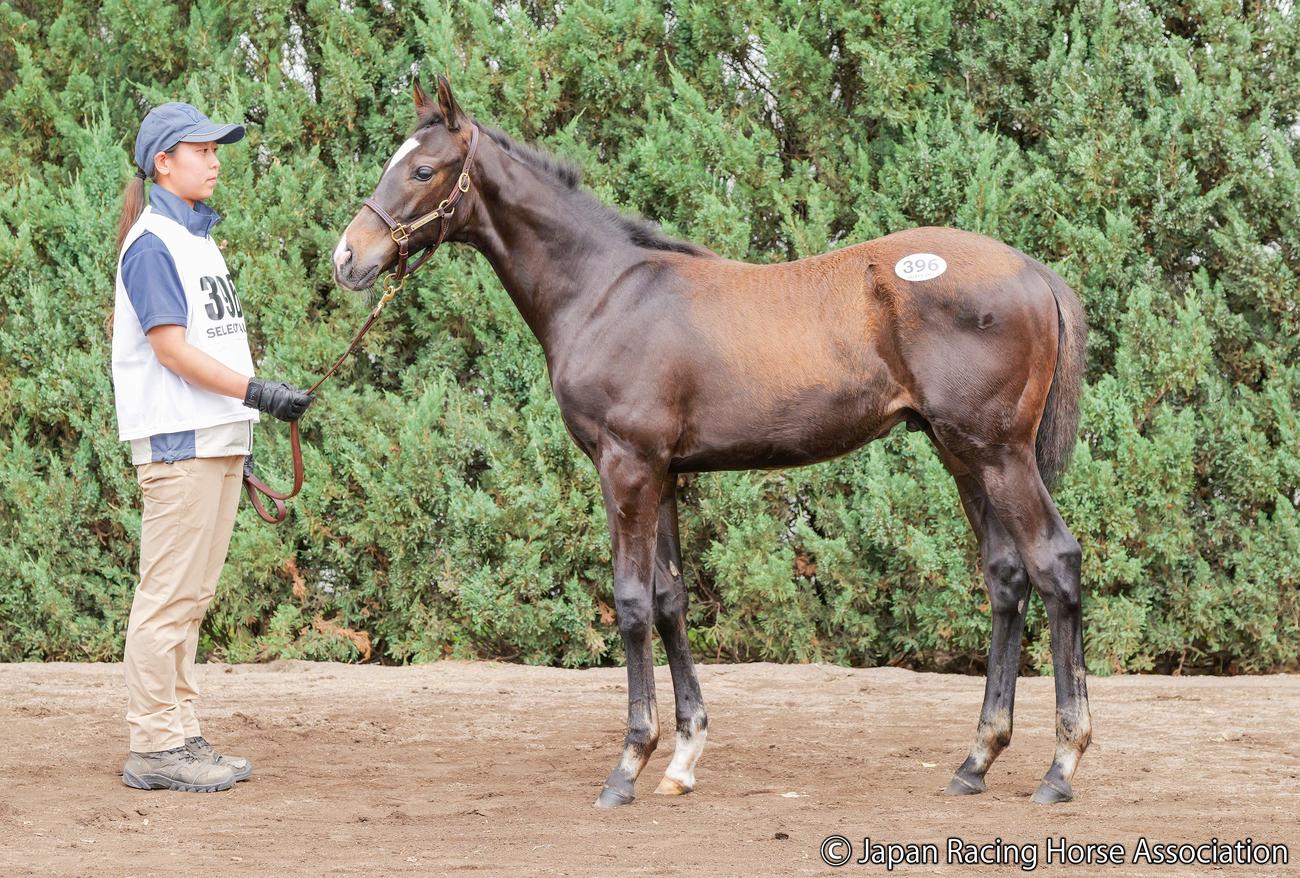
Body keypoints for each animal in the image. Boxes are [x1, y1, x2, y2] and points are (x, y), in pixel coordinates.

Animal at [331, 75, 1091, 808]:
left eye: (422, 169)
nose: (347, 258)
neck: (604, 292)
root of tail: (1034, 272)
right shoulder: (665, 473)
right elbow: (671, 600)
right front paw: (682, 761)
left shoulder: (626, 467)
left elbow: (632, 602)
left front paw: (628, 765)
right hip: (961, 454)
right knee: (1007, 575)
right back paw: (976, 761)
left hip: (999, 453)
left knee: (1054, 562)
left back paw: (1061, 765)